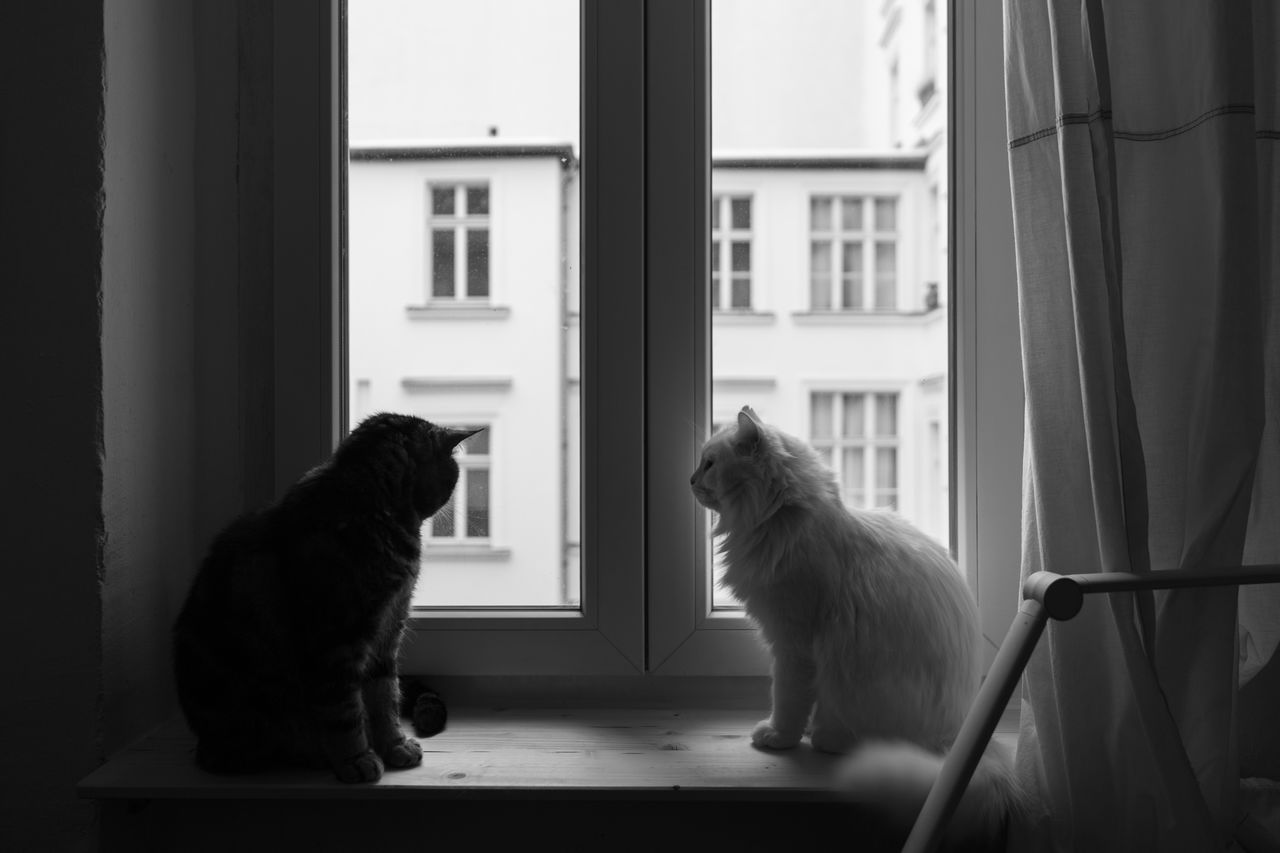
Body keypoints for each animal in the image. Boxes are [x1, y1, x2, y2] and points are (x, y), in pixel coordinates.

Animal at [172, 409, 478, 778]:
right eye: (453, 476)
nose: (452, 500)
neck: (374, 506)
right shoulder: (335, 640)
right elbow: (343, 711)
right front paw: (356, 759)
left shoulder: (387, 632)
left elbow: (385, 697)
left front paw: (393, 745)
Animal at [691, 404, 1018, 845]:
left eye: (709, 464)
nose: (691, 479)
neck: (781, 522)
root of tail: (956, 736)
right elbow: (796, 700)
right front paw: (791, 733)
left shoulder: (793, 644)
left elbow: (787, 698)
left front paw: (779, 737)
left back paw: (825, 739)